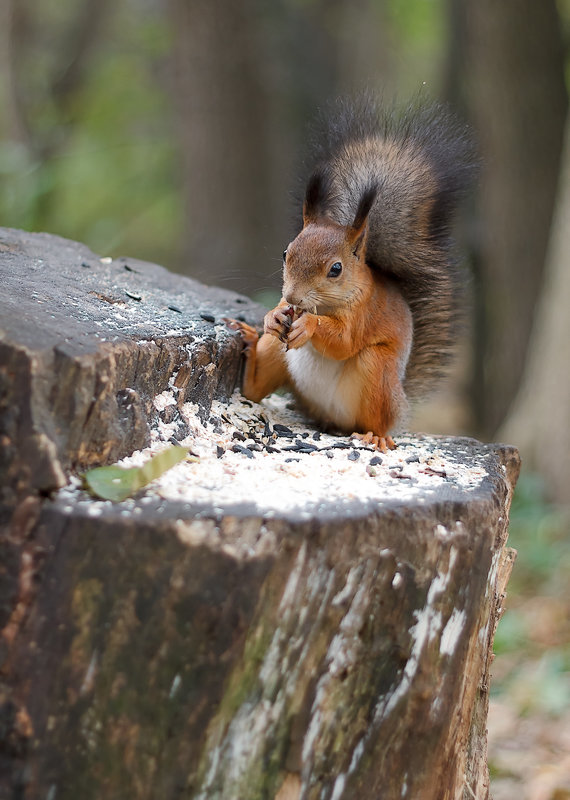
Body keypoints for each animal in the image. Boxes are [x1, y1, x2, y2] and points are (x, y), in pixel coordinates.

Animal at [224, 95, 472, 450]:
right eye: (286, 253)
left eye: (336, 269)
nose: (292, 298)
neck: (325, 304)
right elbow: (282, 316)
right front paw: (273, 315)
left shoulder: (363, 314)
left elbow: (343, 341)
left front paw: (310, 325)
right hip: (275, 351)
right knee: (254, 389)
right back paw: (249, 340)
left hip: (377, 372)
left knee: (375, 419)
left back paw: (374, 436)